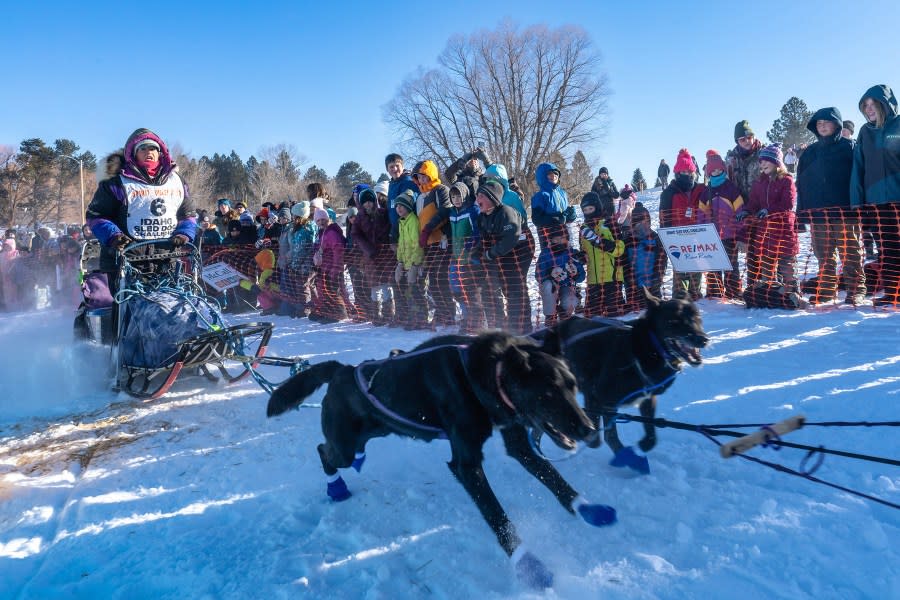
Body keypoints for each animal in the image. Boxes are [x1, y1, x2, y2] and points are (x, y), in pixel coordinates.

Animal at [266, 332, 620, 592]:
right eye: (547, 393)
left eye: (573, 386)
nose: (589, 430)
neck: (481, 376)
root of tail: (342, 369)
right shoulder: (466, 465)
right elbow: (499, 519)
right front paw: (529, 565)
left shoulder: (518, 444)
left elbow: (554, 478)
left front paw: (587, 508)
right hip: (344, 446)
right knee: (323, 450)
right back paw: (336, 487)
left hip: (372, 434)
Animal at [536, 292, 712, 476]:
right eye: (674, 321)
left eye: (697, 318)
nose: (703, 339)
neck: (644, 350)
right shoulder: (604, 400)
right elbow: (607, 437)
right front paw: (626, 457)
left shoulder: (646, 399)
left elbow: (651, 436)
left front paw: (641, 446)